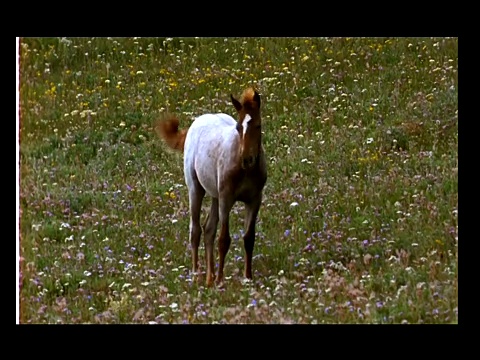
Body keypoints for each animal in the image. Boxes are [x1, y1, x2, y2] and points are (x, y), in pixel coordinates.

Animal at [156, 87, 266, 286]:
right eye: (238, 128)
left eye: (258, 126)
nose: (247, 159)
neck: (245, 171)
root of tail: (199, 119)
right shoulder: (226, 198)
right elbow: (224, 240)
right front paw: (221, 281)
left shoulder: (254, 200)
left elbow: (248, 238)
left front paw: (247, 278)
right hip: (196, 188)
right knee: (196, 230)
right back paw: (196, 274)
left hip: (215, 194)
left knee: (208, 230)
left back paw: (209, 278)